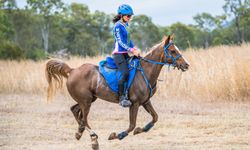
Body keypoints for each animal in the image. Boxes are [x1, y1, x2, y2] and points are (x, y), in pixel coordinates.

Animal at [45, 34, 189, 149]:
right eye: (172, 51)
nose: (186, 65)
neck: (145, 72)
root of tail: (72, 70)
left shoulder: (145, 101)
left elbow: (155, 118)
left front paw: (140, 130)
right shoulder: (135, 103)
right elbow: (131, 125)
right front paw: (117, 135)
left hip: (88, 99)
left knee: (75, 111)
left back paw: (79, 132)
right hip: (86, 102)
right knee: (84, 118)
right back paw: (93, 139)